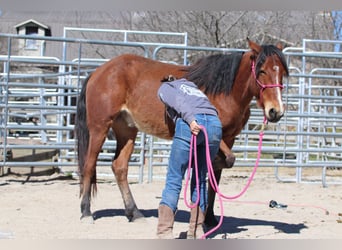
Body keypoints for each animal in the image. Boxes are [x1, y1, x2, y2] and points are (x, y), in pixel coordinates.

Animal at [75, 38, 288, 227]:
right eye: (261, 70)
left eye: (282, 73)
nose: (275, 112)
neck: (224, 92)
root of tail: (98, 72)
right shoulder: (212, 135)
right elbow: (225, 161)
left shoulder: (229, 138)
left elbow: (216, 177)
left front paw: (209, 218)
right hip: (99, 128)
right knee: (89, 166)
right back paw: (86, 213)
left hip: (126, 130)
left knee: (119, 167)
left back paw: (134, 213)